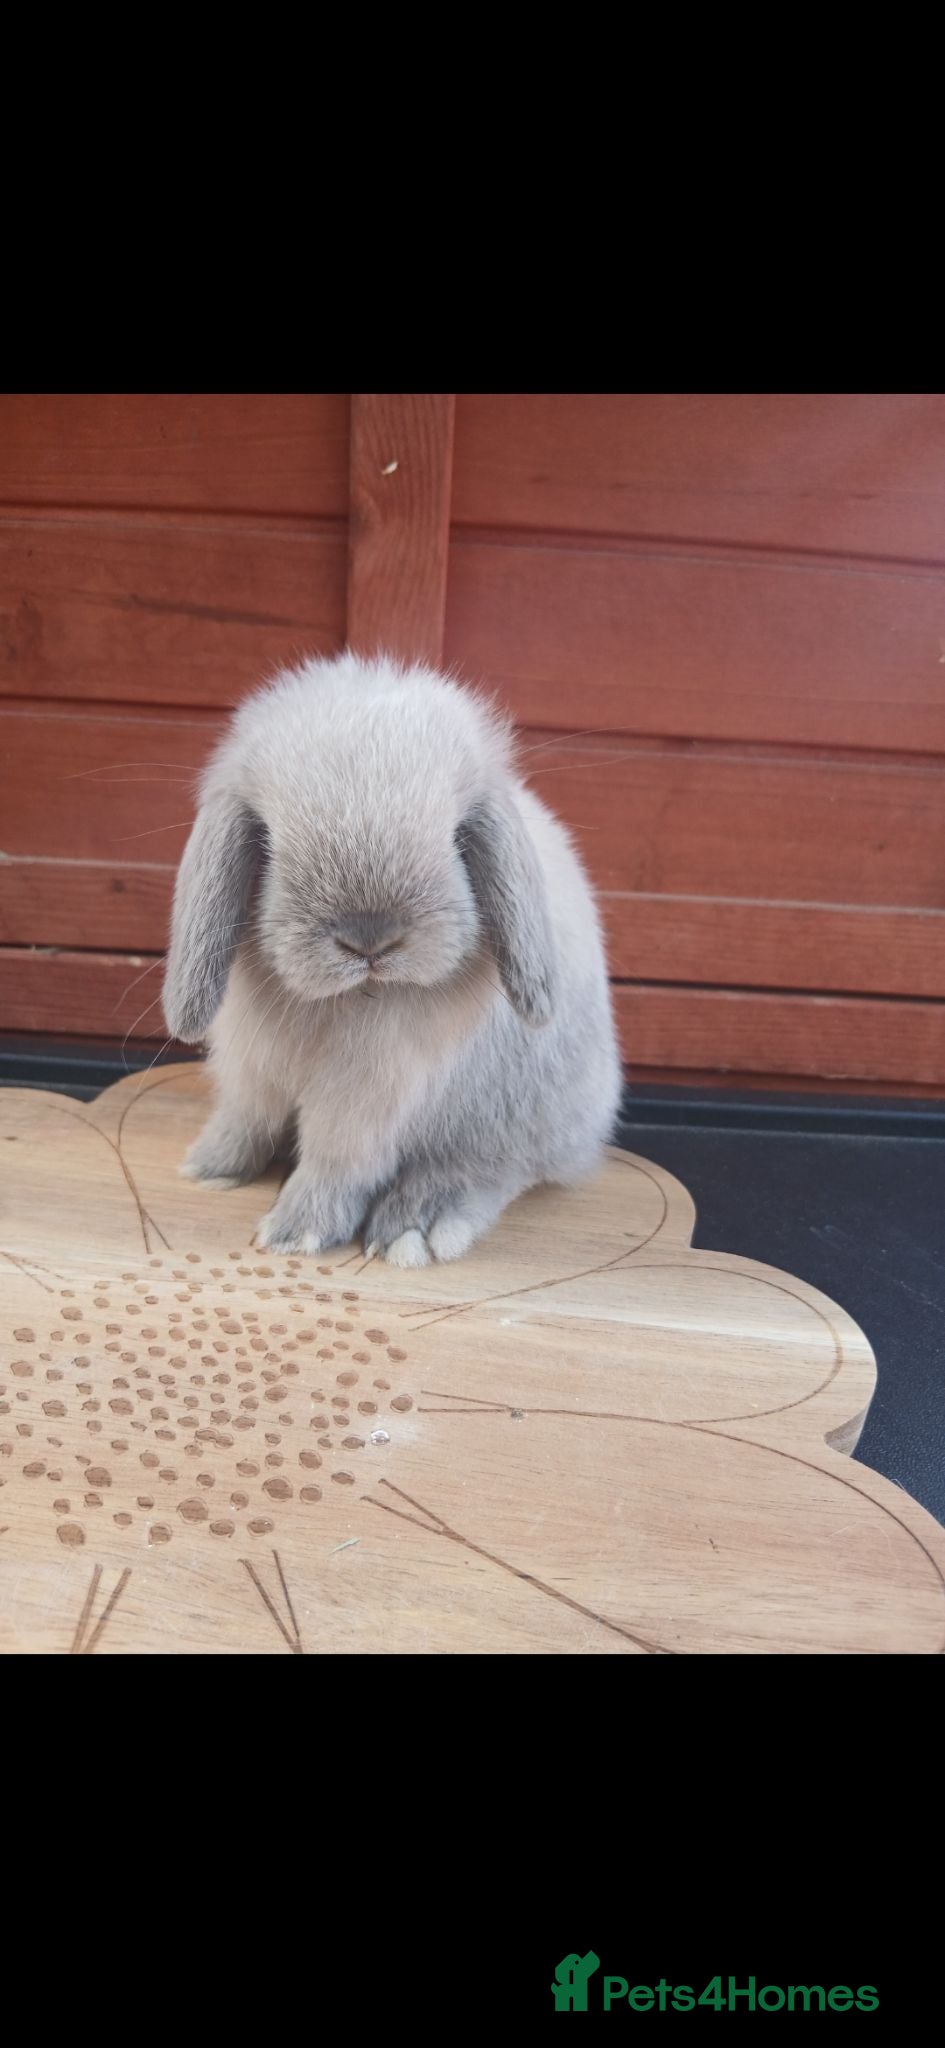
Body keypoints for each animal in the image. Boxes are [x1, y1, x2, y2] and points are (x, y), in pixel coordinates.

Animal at [162, 651, 622, 1266]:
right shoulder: (249, 1069)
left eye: (457, 838)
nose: (370, 938)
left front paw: (295, 1233)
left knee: (489, 1168)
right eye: (267, 840)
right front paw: (212, 1166)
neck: (345, 1004)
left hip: (506, 1119)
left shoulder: (368, 1101)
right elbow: (246, 1116)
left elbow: (336, 1164)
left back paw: (416, 1228)